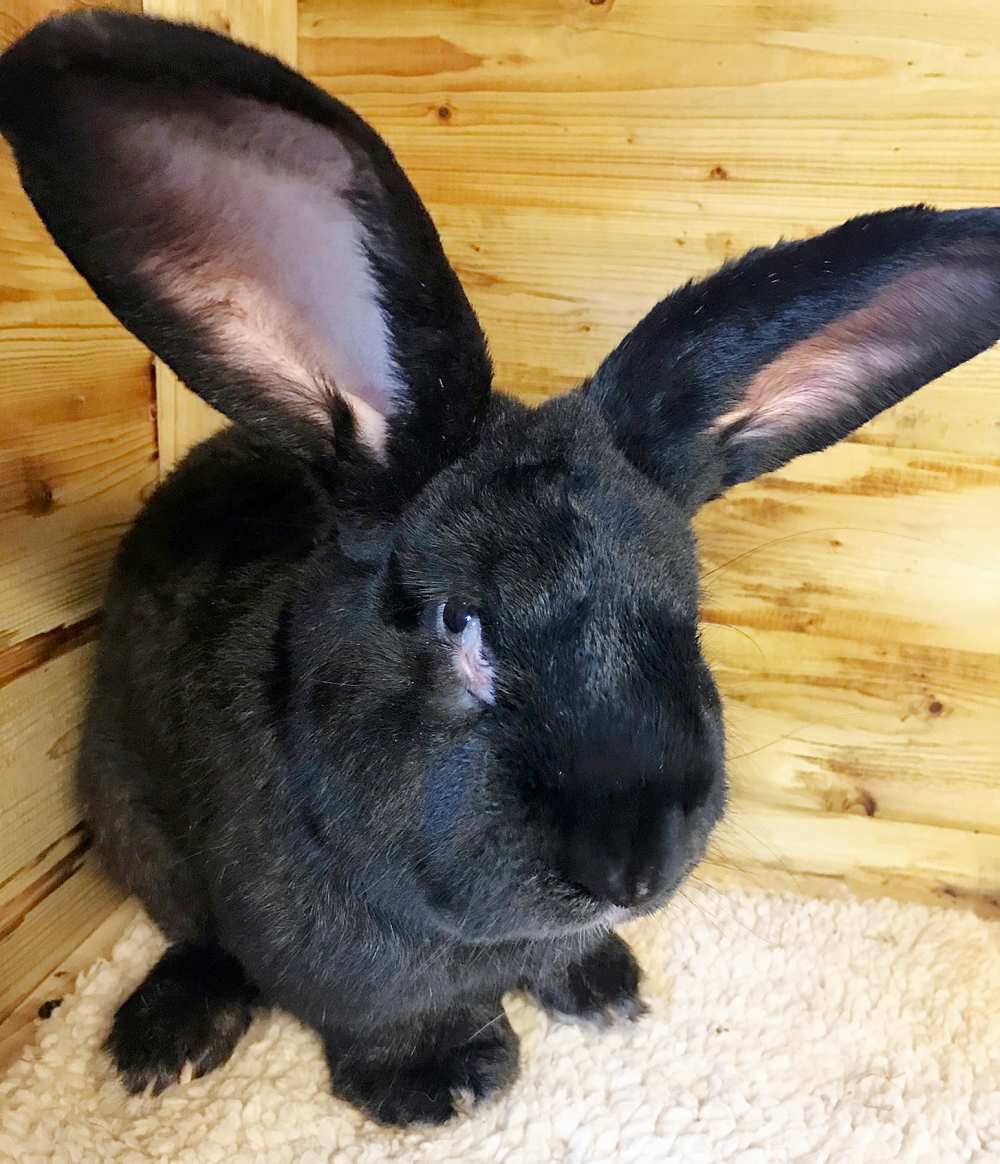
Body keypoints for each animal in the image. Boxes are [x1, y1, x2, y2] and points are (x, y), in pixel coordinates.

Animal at [3, 9, 1000, 1128]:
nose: (633, 868)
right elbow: (380, 1016)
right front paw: (443, 1085)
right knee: (193, 933)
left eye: (687, 611)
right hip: (130, 814)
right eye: (455, 622)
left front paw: (603, 989)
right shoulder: (334, 967)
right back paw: (164, 1040)